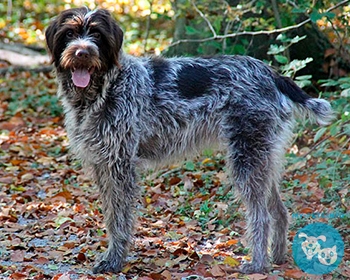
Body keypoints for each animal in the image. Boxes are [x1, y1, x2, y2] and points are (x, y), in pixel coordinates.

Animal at [45, 6, 334, 274]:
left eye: (96, 34)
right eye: (69, 33)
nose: (82, 53)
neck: (103, 89)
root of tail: (271, 74)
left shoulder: (120, 167)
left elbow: (119, 218)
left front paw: (114, 260)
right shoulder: (102, 165)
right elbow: (110, 215)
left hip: (247, 158)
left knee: (261, 215)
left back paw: (258, 264)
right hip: (264, 159)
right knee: (279, 210)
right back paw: (278, 256)